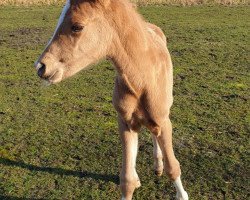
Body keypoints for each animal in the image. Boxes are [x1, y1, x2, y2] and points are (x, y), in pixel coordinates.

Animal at [34, 0, 188, 199]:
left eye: (77, 26)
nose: (41, 67)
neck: (142, 79)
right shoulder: (125, 122)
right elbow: (127, 180)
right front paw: (134, 179)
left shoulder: (163, 120)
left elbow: (173, 167)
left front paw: (181, 193)